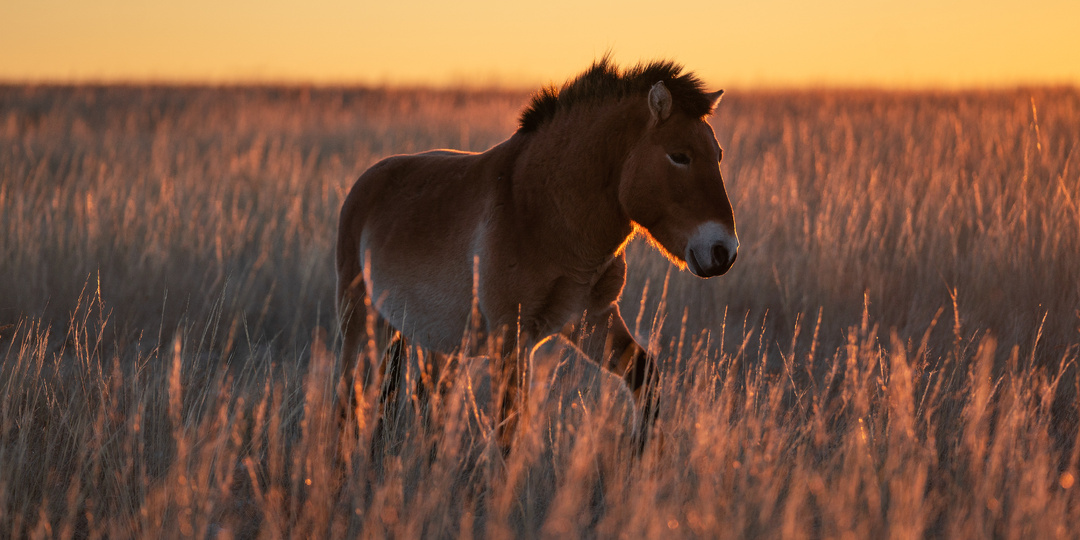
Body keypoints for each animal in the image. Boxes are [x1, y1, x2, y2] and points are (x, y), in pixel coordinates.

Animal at [336, 56, 738, 449]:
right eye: (679, 156)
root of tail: (365, 183)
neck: (543, 210)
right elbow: (509, 431)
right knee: (348, 402)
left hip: (433, 340)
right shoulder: (511, 336)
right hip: (360, 322)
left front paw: (639, 456)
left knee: (424, 403)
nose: (724, 252)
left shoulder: (592, 318)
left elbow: (646, 376)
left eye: (718, 155)